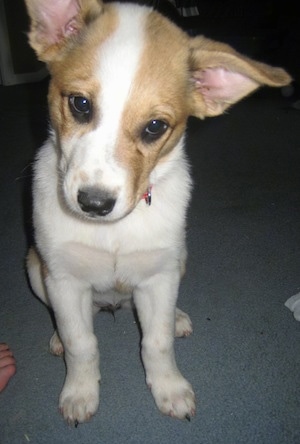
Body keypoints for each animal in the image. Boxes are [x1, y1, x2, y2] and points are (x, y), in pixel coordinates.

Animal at [24, 0, 292, 424]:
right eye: (80, 104)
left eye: (154, 126)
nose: (94, 204)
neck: (115, 230)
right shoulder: (63, 279)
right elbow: (81, 341)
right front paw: (80, 391)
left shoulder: (160, 276)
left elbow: (157, 341)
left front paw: (169, 387)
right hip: (36, 268)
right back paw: (56, 338)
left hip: (178, 259)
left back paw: (177, 317)